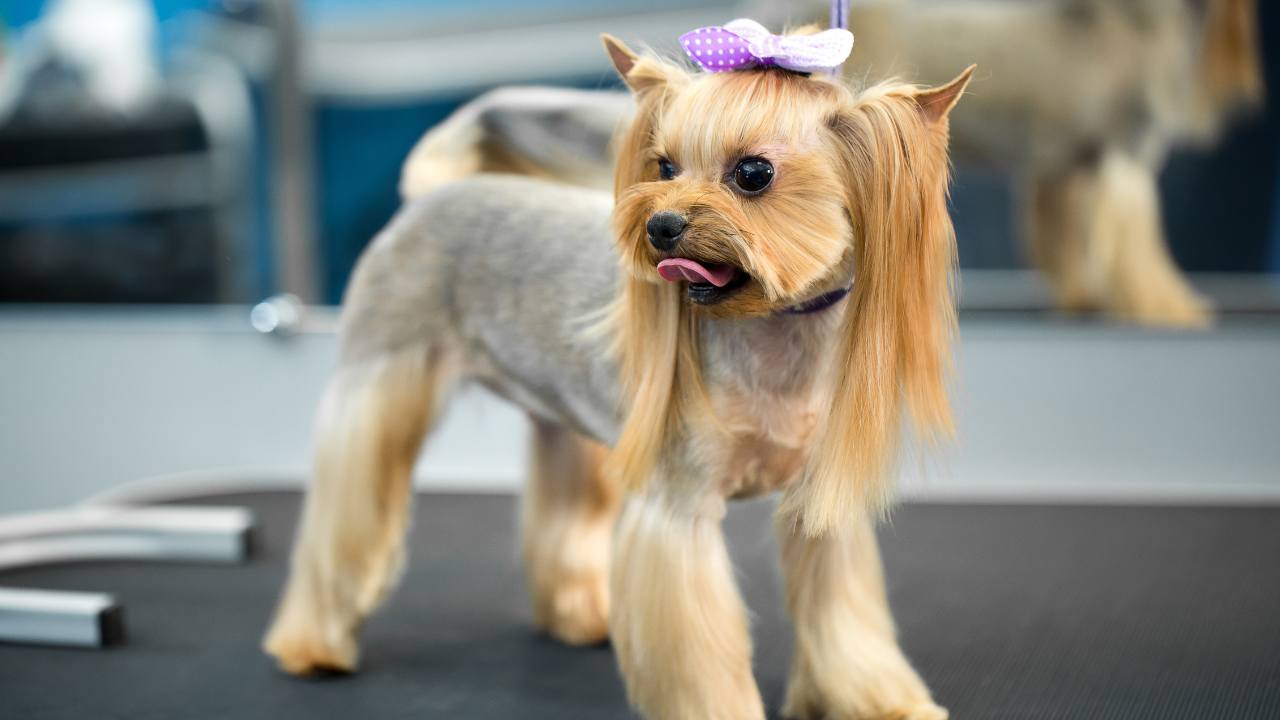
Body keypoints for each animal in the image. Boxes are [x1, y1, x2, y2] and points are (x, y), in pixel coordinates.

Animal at [267, 23, 967, 717]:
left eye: (754, 173)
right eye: (664, 166)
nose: (662, 225)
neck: (771, 327)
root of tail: (433, 195)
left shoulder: (816, 503)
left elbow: (844, 617)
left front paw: (879, 702)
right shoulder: (678, 507)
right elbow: (700, 657)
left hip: (558, 414)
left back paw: (576, 616)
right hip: (378, 377)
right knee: (348, 507)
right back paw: (312, 644)